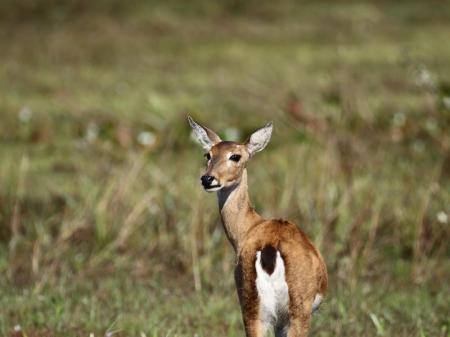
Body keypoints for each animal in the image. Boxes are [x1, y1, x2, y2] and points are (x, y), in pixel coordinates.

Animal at [186, 116, 326, 336]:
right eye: (208, 154)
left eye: (235, 156)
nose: (207, 178)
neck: (250, 227)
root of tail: (269, 249)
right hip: (294, 313)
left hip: (252, 310)